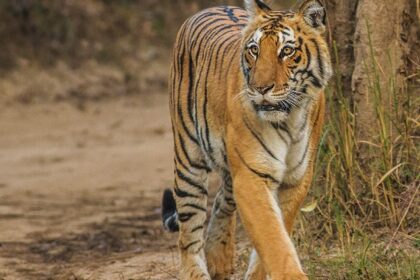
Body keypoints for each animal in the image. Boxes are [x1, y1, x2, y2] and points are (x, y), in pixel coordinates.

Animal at [161, 0, 332, 278]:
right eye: (254, 50)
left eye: (286, 51)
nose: (261, 88)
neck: (289, 119)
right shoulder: (252, 176)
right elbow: (272, 236)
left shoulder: (297, 178)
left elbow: (277, 232)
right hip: (189, 157)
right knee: (189, 232)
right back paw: (197, 269)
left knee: (222, 200)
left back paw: (219, 257)